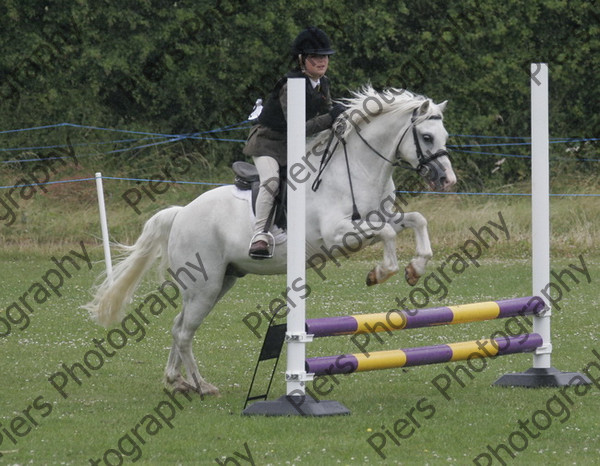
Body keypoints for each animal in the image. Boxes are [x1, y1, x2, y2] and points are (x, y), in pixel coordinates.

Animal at [84, 86, 458, 394]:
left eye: (443, 136)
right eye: (426, 136)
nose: (448, 180)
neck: (358, 170)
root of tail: (181, 213)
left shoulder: (380, 218)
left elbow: (415, 221)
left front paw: (416, 268)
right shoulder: (340, 234)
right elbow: (389, 234)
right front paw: (381, 273)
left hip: (221, 282)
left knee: (179, 326)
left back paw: (176, 382)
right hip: (204, 285)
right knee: (183, 331)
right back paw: (201, 385)